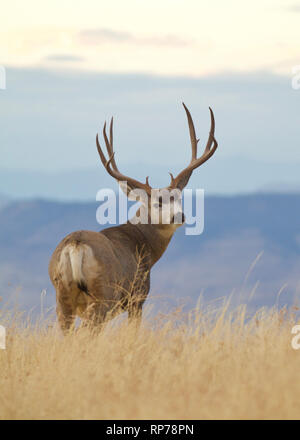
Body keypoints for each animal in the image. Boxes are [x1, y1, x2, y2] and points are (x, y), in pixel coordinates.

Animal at [48, 103, 218, 332]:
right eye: (158, 202)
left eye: (179, 198)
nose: (180, 216)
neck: (143, 244)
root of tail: (76, 245)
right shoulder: (137, 296)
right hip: (103, 295)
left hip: (63, 296)